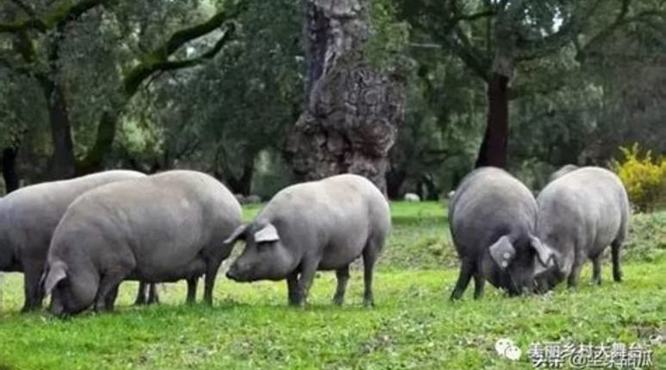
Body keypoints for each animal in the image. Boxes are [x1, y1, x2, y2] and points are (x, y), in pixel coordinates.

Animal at [0, 171, 147, 312]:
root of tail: (142, 175)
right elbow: (41, 286)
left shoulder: (32, 257)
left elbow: (30, 286)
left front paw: (26, 311)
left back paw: (141, 303)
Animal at [40, 171, 241, 316]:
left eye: (62, 284)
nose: (52, 313)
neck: (84, 257)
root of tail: (231, 199)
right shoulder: (118, 268)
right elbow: (112, 291)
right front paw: (110, 311)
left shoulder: (121, 263)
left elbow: (104, 289)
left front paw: (98, 311)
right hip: (193, 258)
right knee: (192, 282)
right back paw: (189, 304)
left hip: (215, 251)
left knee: (209, 279)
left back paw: (206, 304)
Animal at [224, 173, 390, 306]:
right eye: (247, 243)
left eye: (262, 245)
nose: (229, 273)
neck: (287, 237)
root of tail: (374, 188)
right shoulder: (292, 263)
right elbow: (291, 282)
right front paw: (291, 305)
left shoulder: (314, 253)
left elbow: (305, 280)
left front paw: (300, 307)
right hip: (343, 250)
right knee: (343, 276)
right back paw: (335, 304)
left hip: (375, 240)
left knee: (368, 273)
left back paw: (367, 304)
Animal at [446, 168, 556, 300]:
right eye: (509, 263)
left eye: (531, 260)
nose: (525, 292)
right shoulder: (468, 253)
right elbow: (464, 277)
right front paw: (452, 301)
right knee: (477, 276)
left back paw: (478, 298)